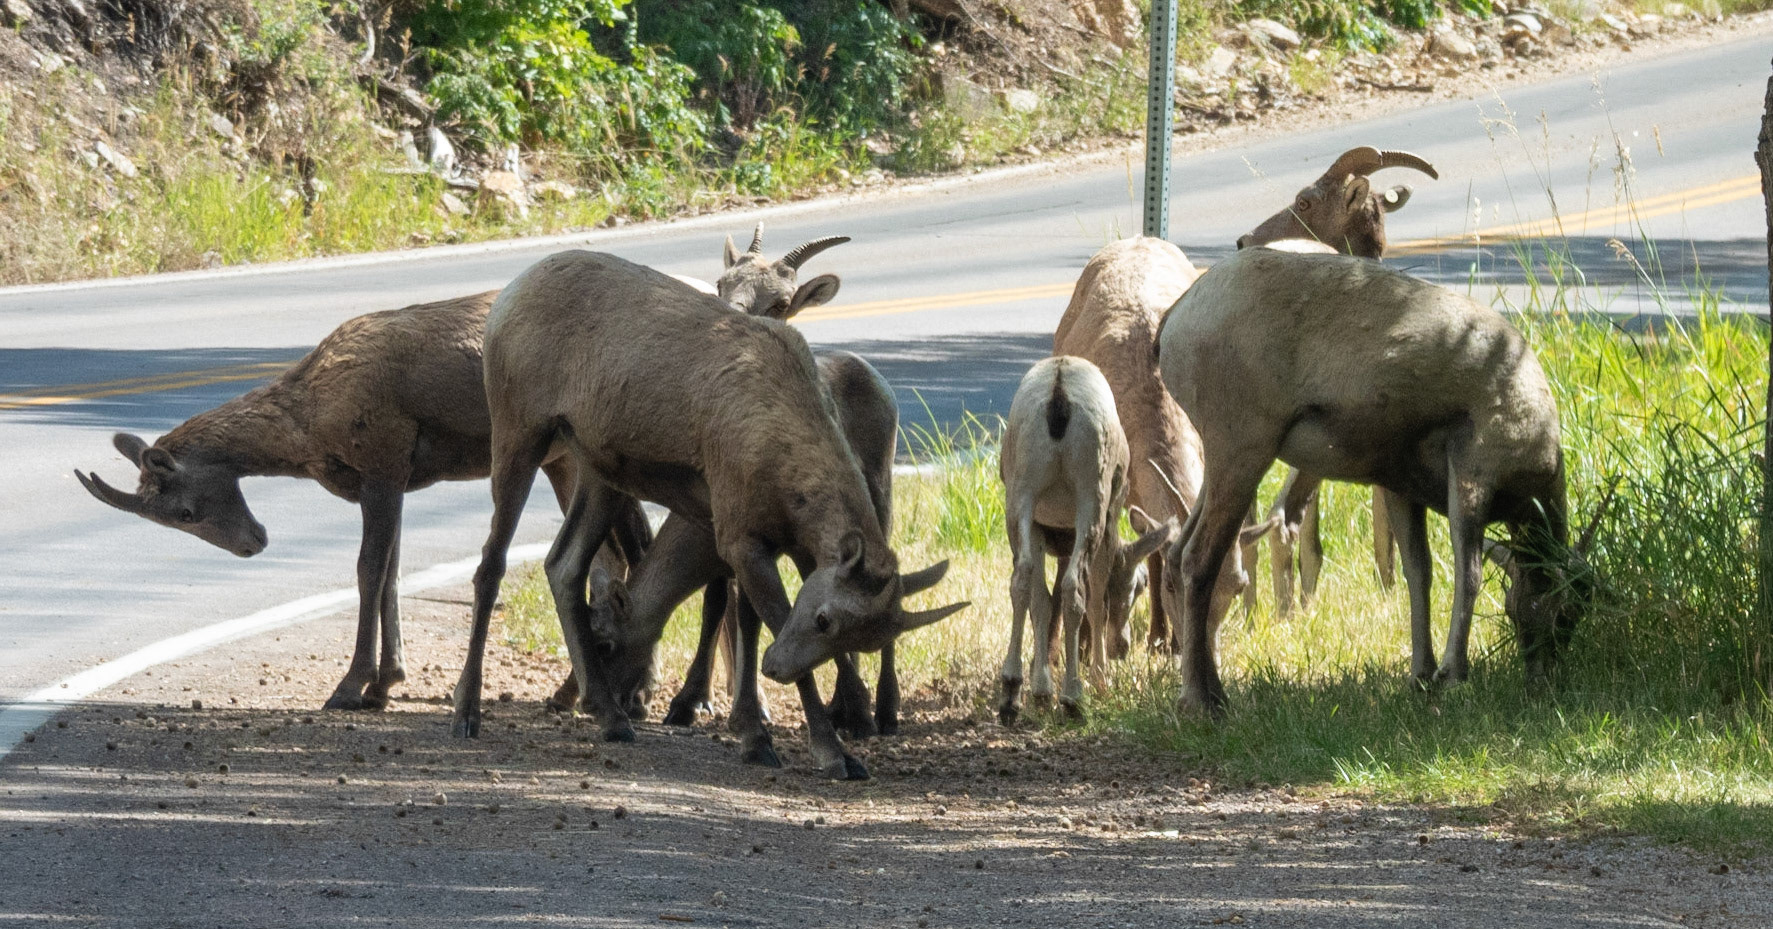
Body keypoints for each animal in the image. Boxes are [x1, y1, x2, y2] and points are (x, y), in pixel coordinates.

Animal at [74, 292, 649, 712]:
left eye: (184, 512)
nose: (254, 542)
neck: (307, 432)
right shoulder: (394, 479)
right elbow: (391, 571)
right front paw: (386, 680)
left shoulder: (383, 461)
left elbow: (368, 569)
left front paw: (353, 685)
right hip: (565, 458)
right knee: (618, 555)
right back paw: (593, 693)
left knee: (617, 554)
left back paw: (605, 694)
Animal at [455, 250, 962, 780]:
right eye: (823, 619)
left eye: (862, 637)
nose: (776, 667)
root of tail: (507, 296)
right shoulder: (739, 534)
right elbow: (766, 618)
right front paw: (825, 751)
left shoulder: (776, 543)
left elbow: (748, 617)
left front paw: (773, 731)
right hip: (519, 429)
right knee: (492, 561)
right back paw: (467, 713)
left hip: (599, 469)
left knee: (564, 564)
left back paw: (611, 716)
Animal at [996, 355, 1176, 723]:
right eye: (1138, 585)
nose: (1122, 646)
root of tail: (1058, 396)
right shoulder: (1110, 521)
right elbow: (1096, 599)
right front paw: (1101, 682)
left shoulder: (1039, 524)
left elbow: (1041, 600)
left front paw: (1040, 691)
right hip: (1092, 494)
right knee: (1075, 587)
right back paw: (1074, 697)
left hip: (1021, 492)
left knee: (1021, 578)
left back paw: (1010, 691)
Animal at [1156, 247, 1609, 715]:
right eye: (1569, 612)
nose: (1543, 679)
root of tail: (1178, 316)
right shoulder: (1471, 479)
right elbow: (1467, 574)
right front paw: (1452, 678)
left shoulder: (1401, 491)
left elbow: (1419, 573)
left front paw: (1421, 678)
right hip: (1241, 453)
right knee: (1198, 559)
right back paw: (1207, 704)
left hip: (1221, 465)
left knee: (1175, 554)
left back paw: (1200, 695)